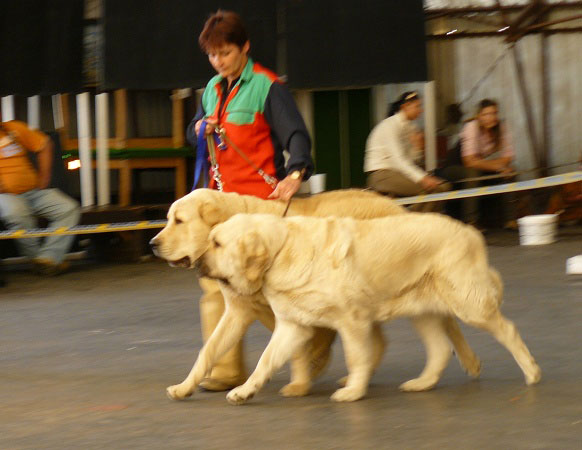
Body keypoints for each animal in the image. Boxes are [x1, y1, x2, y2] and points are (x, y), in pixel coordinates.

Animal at [151, 188, 484, 400]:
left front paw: (300, 382)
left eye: (179, 221)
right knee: (380, 340)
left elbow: (297, 348)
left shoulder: (290, 307)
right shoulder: (238, 311)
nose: (153, 244)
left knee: (448, 323)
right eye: (168, 219)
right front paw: (184, 387)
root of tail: (397, 206)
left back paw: (469, 361)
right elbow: (209, 350)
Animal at [198, 212, 544, 404]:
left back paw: (531, 372)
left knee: (508, 330)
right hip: (423, 312)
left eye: (217, 243)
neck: (282, 250)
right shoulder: (293, 326)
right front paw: (244, 391)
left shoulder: (351, 321)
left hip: (469, 303)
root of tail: (471, 231)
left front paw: (353, 390)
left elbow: (357, 357)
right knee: (440, 349)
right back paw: (422, 383)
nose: (198, 261)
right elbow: (265, 362)